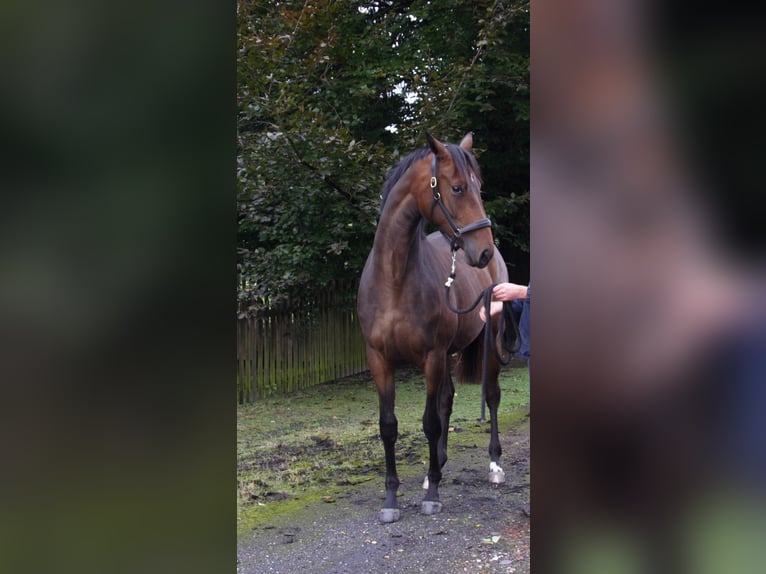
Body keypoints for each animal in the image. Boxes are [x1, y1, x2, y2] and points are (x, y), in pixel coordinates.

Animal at [358, 133, 510, 524]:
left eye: (479, 187)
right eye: (457, 188)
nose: (484, 251)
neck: (395, 281)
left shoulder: (431, 357)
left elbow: (429, 422)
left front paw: (433, 497)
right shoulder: (379, 360)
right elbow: (389, 426)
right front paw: (392, 499)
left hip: (485, 347)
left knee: (490, 397)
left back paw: (494, 465)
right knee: (447, 400)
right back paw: (435, 468)